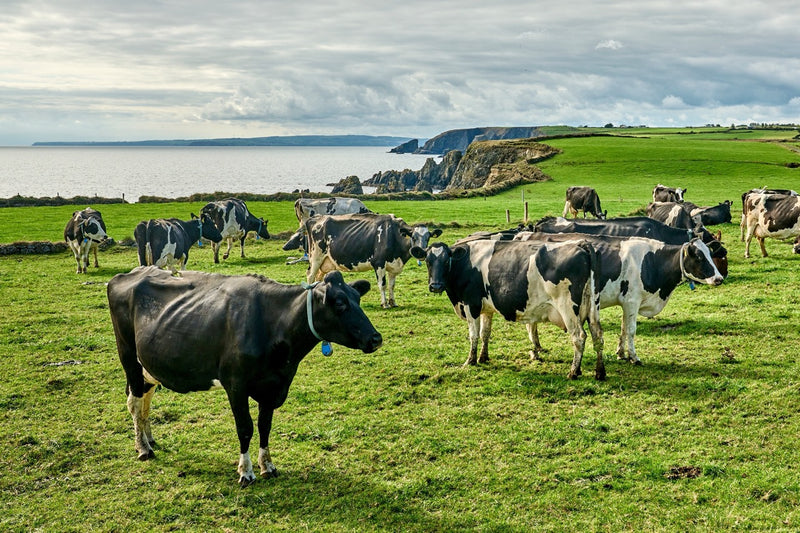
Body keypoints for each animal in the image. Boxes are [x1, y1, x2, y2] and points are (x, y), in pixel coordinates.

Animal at [108, 266, 382, 486]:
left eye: (358, 298)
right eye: (340, 303)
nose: (376, 338)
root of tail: (130, 273)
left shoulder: (274, 386)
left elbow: (264, 426)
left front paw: (267, 465)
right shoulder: (236, 384)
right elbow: (245, 428)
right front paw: (246, 472)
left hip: (150, 366)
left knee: (145, 400)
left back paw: (149, 439)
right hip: (129, 357)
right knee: (134, 403)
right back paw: (143, 448)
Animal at [304, 213, 442, 308]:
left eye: (428, 237)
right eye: (413, 237)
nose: (422, 252)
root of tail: (316, 218)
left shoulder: (393, 265)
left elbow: (392, 285)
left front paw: (393, 302)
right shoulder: (379, 263)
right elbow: (383, 285)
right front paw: (385, 304)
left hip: (325, 263)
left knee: (318, 278)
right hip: (316, 256)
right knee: (310, 276)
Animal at [410, 239, 605, 380]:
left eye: (446, 261)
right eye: (428, 261)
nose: (435, 285)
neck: (464, 264)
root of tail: (580, 244)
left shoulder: (471, 304)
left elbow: (474, 335)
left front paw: (470, 361)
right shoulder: (486, 309)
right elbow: (485, 333)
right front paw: (483, 358)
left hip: (567, 307)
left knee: (579, 337)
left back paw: (573, 372)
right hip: (592, 307)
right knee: (597, 336)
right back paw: (599, 372)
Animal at [514, 232, 724, 364]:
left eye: (710, 254)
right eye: (699, 258)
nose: (719, 278)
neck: (651, 262)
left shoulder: (627, 303)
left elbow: (623, 329)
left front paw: (621, 354)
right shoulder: (632, 301)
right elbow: (630, 330)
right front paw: (634, 357)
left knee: (531, 324)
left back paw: (537, 349)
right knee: (530, 324)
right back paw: (536, 350)